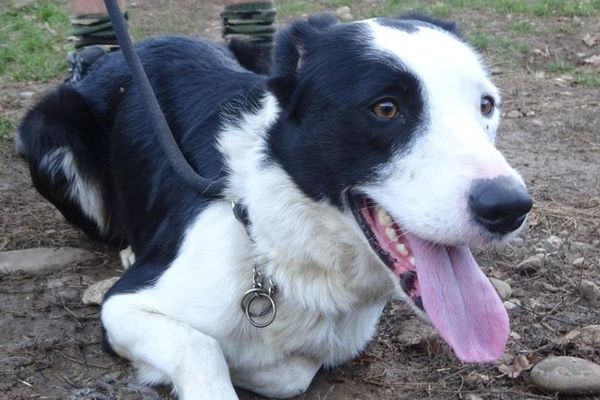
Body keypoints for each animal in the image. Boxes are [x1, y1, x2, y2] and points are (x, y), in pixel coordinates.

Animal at [16, 14, 528, 398]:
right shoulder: (123, 307)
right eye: (385, 108)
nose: (510, 207)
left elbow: (289, 373)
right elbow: (204, 349)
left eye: (486, 105)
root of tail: (116, 53)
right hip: (47, 128)